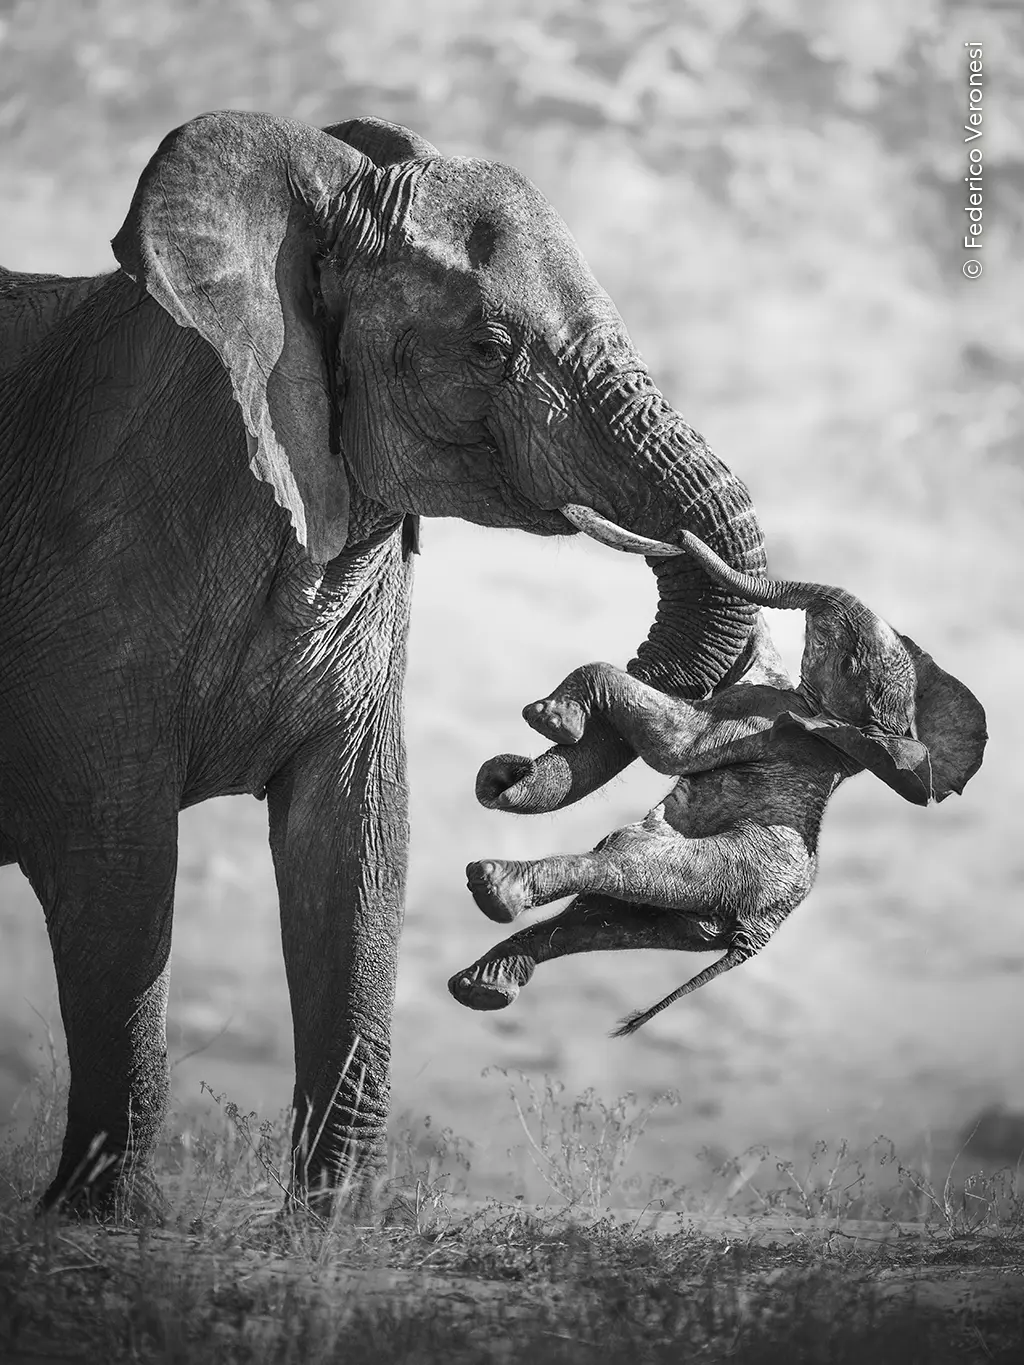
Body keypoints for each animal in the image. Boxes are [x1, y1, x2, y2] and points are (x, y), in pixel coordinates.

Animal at [0, 112, 767, 1215]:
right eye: (488, 348)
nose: (518, 751)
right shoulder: (92, 570)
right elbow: (119, 866)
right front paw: (103, 1221)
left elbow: (356, 845)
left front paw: (336, 1227)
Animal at [450, 527, 987, 1034]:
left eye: (849, 660)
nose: (679, 537)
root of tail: (755, 936)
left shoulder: (762, 719)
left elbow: (673, 746)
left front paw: (551, 720)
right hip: (696, 916)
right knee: (598, 920)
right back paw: (482, 985)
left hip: (727, 868)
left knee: (623, 863)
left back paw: (494, 888)